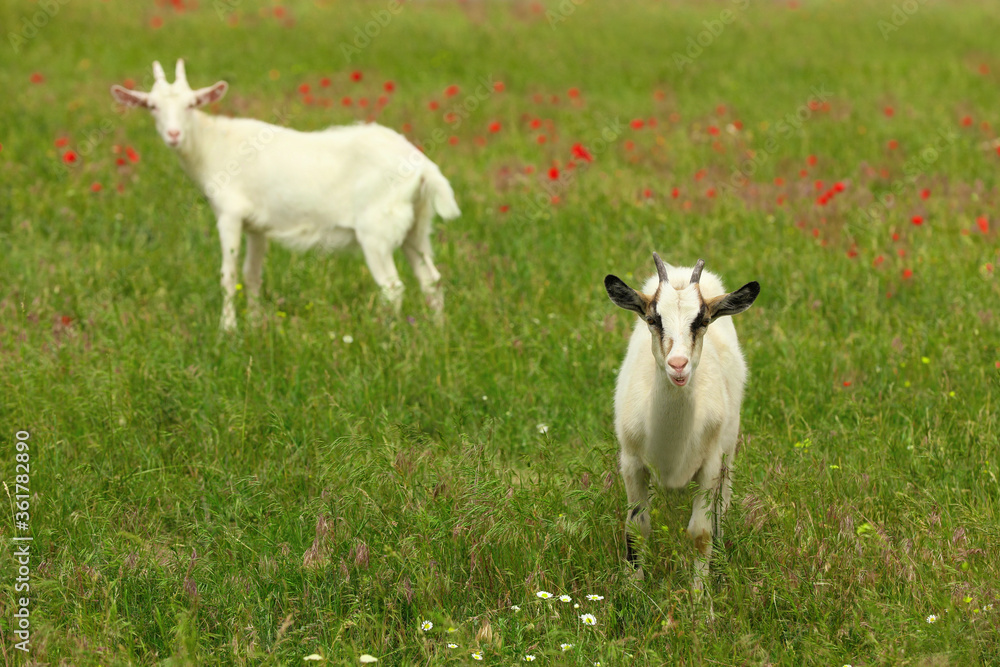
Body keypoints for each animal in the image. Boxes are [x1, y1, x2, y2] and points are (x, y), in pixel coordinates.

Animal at [111, 60, 460, 331]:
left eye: (191, 104)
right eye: (152, 106)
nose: (173, 134)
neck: (213, 146)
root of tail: (423, 167)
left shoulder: (230, 214)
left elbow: (228, 275)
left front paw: (227, 330)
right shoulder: (256, 226)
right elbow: (251, 276)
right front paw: (254, 326)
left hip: (376, 230)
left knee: (393, 287)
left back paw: (388, 339)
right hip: (415, 226)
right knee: (431, 280)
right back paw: (437, 334)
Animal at [604, 253, 759, 591]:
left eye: (702, 321)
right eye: (653, 319)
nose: (678, 365)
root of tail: (680, 271)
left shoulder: (710, 465)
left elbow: (701, 533)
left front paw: (699, 599)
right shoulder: (632, 462)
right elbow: (636, 528)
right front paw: (633, 591)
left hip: (728, 454)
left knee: (721, 512)